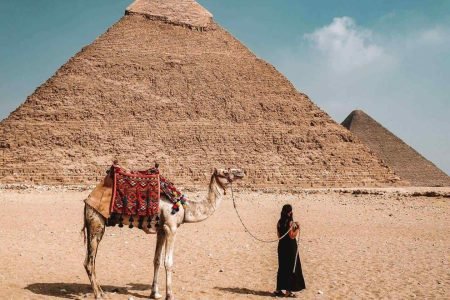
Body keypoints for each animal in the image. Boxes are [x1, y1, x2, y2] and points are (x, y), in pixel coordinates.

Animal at [83, 168, 246, 298]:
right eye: (225, 171)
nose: (241, 172)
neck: (185, 208)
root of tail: (88, 199)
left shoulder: (161, 230)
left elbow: (157, 260)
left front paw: (155, 293)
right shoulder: (171, 227)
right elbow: (168, 262)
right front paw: (170, 294)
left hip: (97, 225)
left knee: (92, 260)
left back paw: (101, 291)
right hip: (96, 222)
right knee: (89, 262)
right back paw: (98, 295)